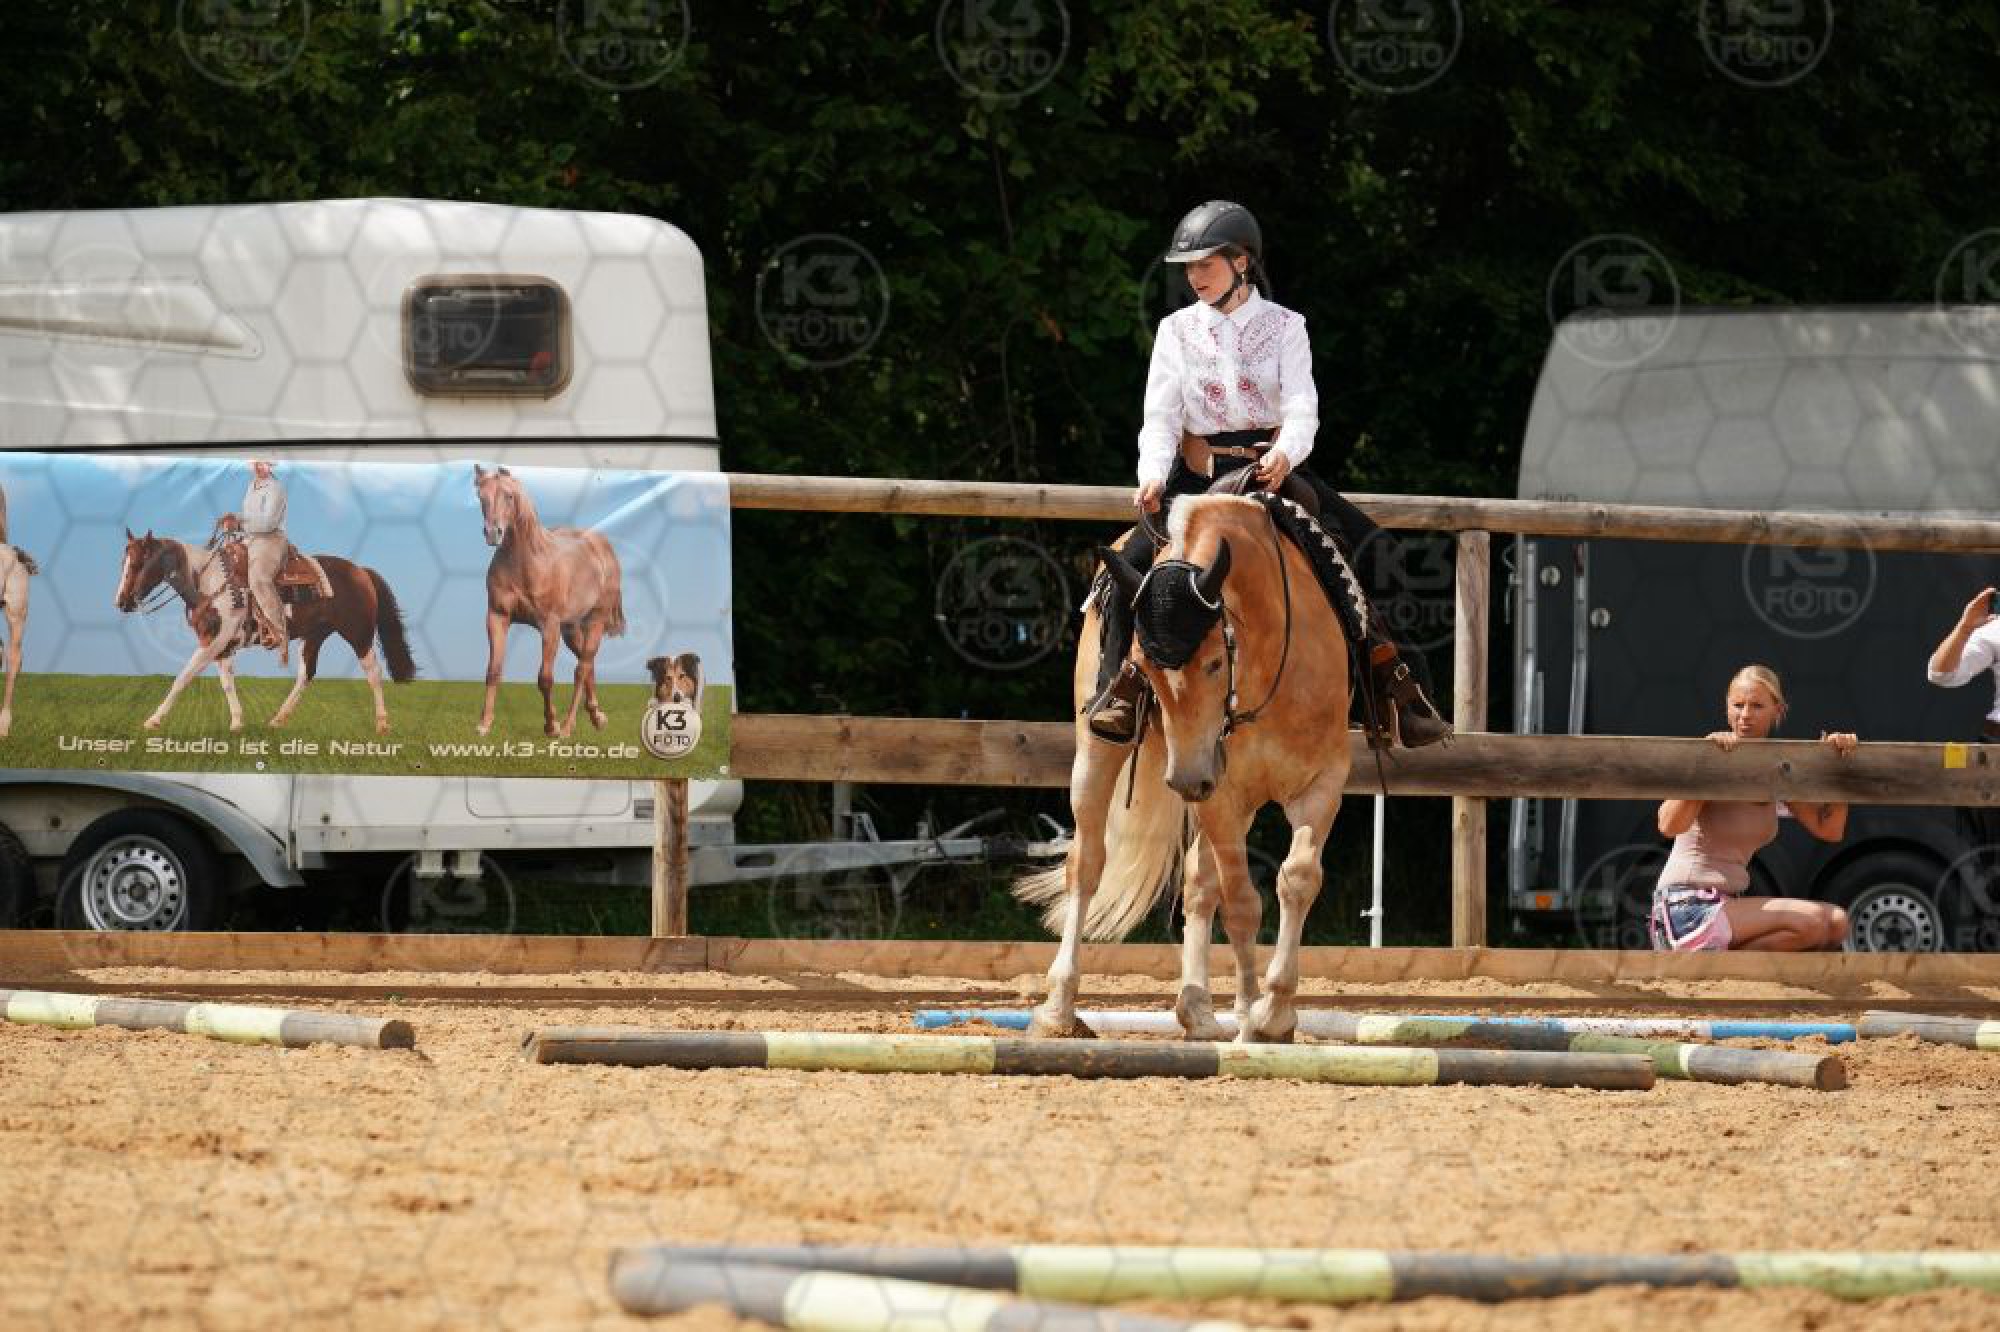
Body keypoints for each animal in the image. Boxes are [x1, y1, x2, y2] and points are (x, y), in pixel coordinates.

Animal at [114, 530, 418, 734]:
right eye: (123, 563)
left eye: (139, 563)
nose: (122, 602)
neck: (208, 582)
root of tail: (361, 570)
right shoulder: (221, 645)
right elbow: (227, 683)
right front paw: (237, 722)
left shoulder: (214, 641)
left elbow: (183, 678)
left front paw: (153, 720)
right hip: (314, 636)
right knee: (306, 674)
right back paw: (278, 719)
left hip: (359, 634)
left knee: (373, 673)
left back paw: (382, 723)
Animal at [473, 465, 626, 737]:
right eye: (481, 496)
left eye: (509, 496)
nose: (493, 533)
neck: (526, 563)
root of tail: (601, 545)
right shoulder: (497, 618)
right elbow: (493, 671)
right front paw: (484, 724)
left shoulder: (549, 626)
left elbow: (545, 678)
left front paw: (551, 725)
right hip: (571, 629)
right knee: (588, 664)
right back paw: (597, 716)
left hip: (594, 622)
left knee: (581, 669)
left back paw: (567, 726)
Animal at [1015, 494, 1355, 1045]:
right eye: (1146, 669)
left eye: (1216, 661)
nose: (1187, 779)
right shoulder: (1221, 795)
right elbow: (1241, 902)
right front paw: (1257, 1015)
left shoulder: (1322, 783)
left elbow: (1297, 878)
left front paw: (1273, 1012)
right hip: (1099, 759)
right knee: (1086, 865)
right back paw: (1059, 1008)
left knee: (1198, 883)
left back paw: (1200, 1010)